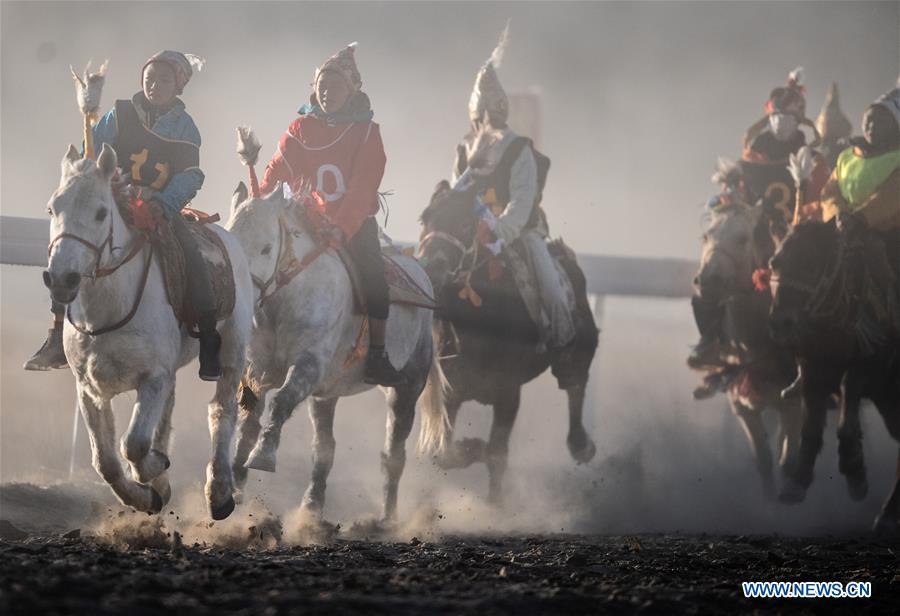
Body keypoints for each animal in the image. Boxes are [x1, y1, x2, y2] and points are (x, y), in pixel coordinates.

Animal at [46, 144, 253, 520]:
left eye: (101, 212)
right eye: (52, 208)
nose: (61, 279)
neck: (108, 311)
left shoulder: (153, 378)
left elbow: (134, 444)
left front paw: (154, 468)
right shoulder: (89, 388)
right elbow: (106, 461)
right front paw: (147, 496)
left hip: (232, 350)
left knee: (222, 411)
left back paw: (219, 493)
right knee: (169, 413)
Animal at [225, 180, 450, 524]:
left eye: (265, 248)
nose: (240, 297)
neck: (287, 298)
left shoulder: (308, 365)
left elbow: (281, 401)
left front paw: (263, 454)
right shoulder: (258, 371)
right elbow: (248, 422)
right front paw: (235, 486)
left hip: (407, 388)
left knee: (393, 455)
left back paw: (387, 519)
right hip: (325, 396)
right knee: (324, 449)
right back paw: (311, 508)